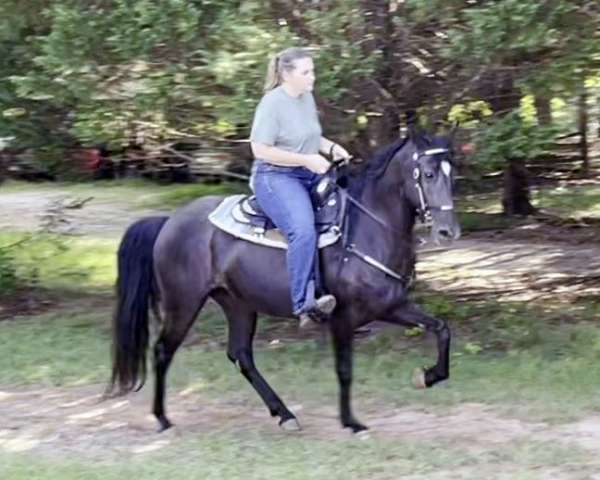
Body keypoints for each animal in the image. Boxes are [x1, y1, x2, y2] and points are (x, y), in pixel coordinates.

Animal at [110, 125, 462, 434]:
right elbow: (344, 369)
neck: (366, 228)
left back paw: (285, 414)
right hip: (183, 303)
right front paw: (351, 421)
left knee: (241, 355)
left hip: (238, 304)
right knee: (162, 350)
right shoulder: (344, 317)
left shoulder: (392, 306)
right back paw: (162, 418)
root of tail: (169, 221)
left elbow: (442, 329)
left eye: (451, 173)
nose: (448, 231)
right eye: (428, 174)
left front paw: (428, 376)